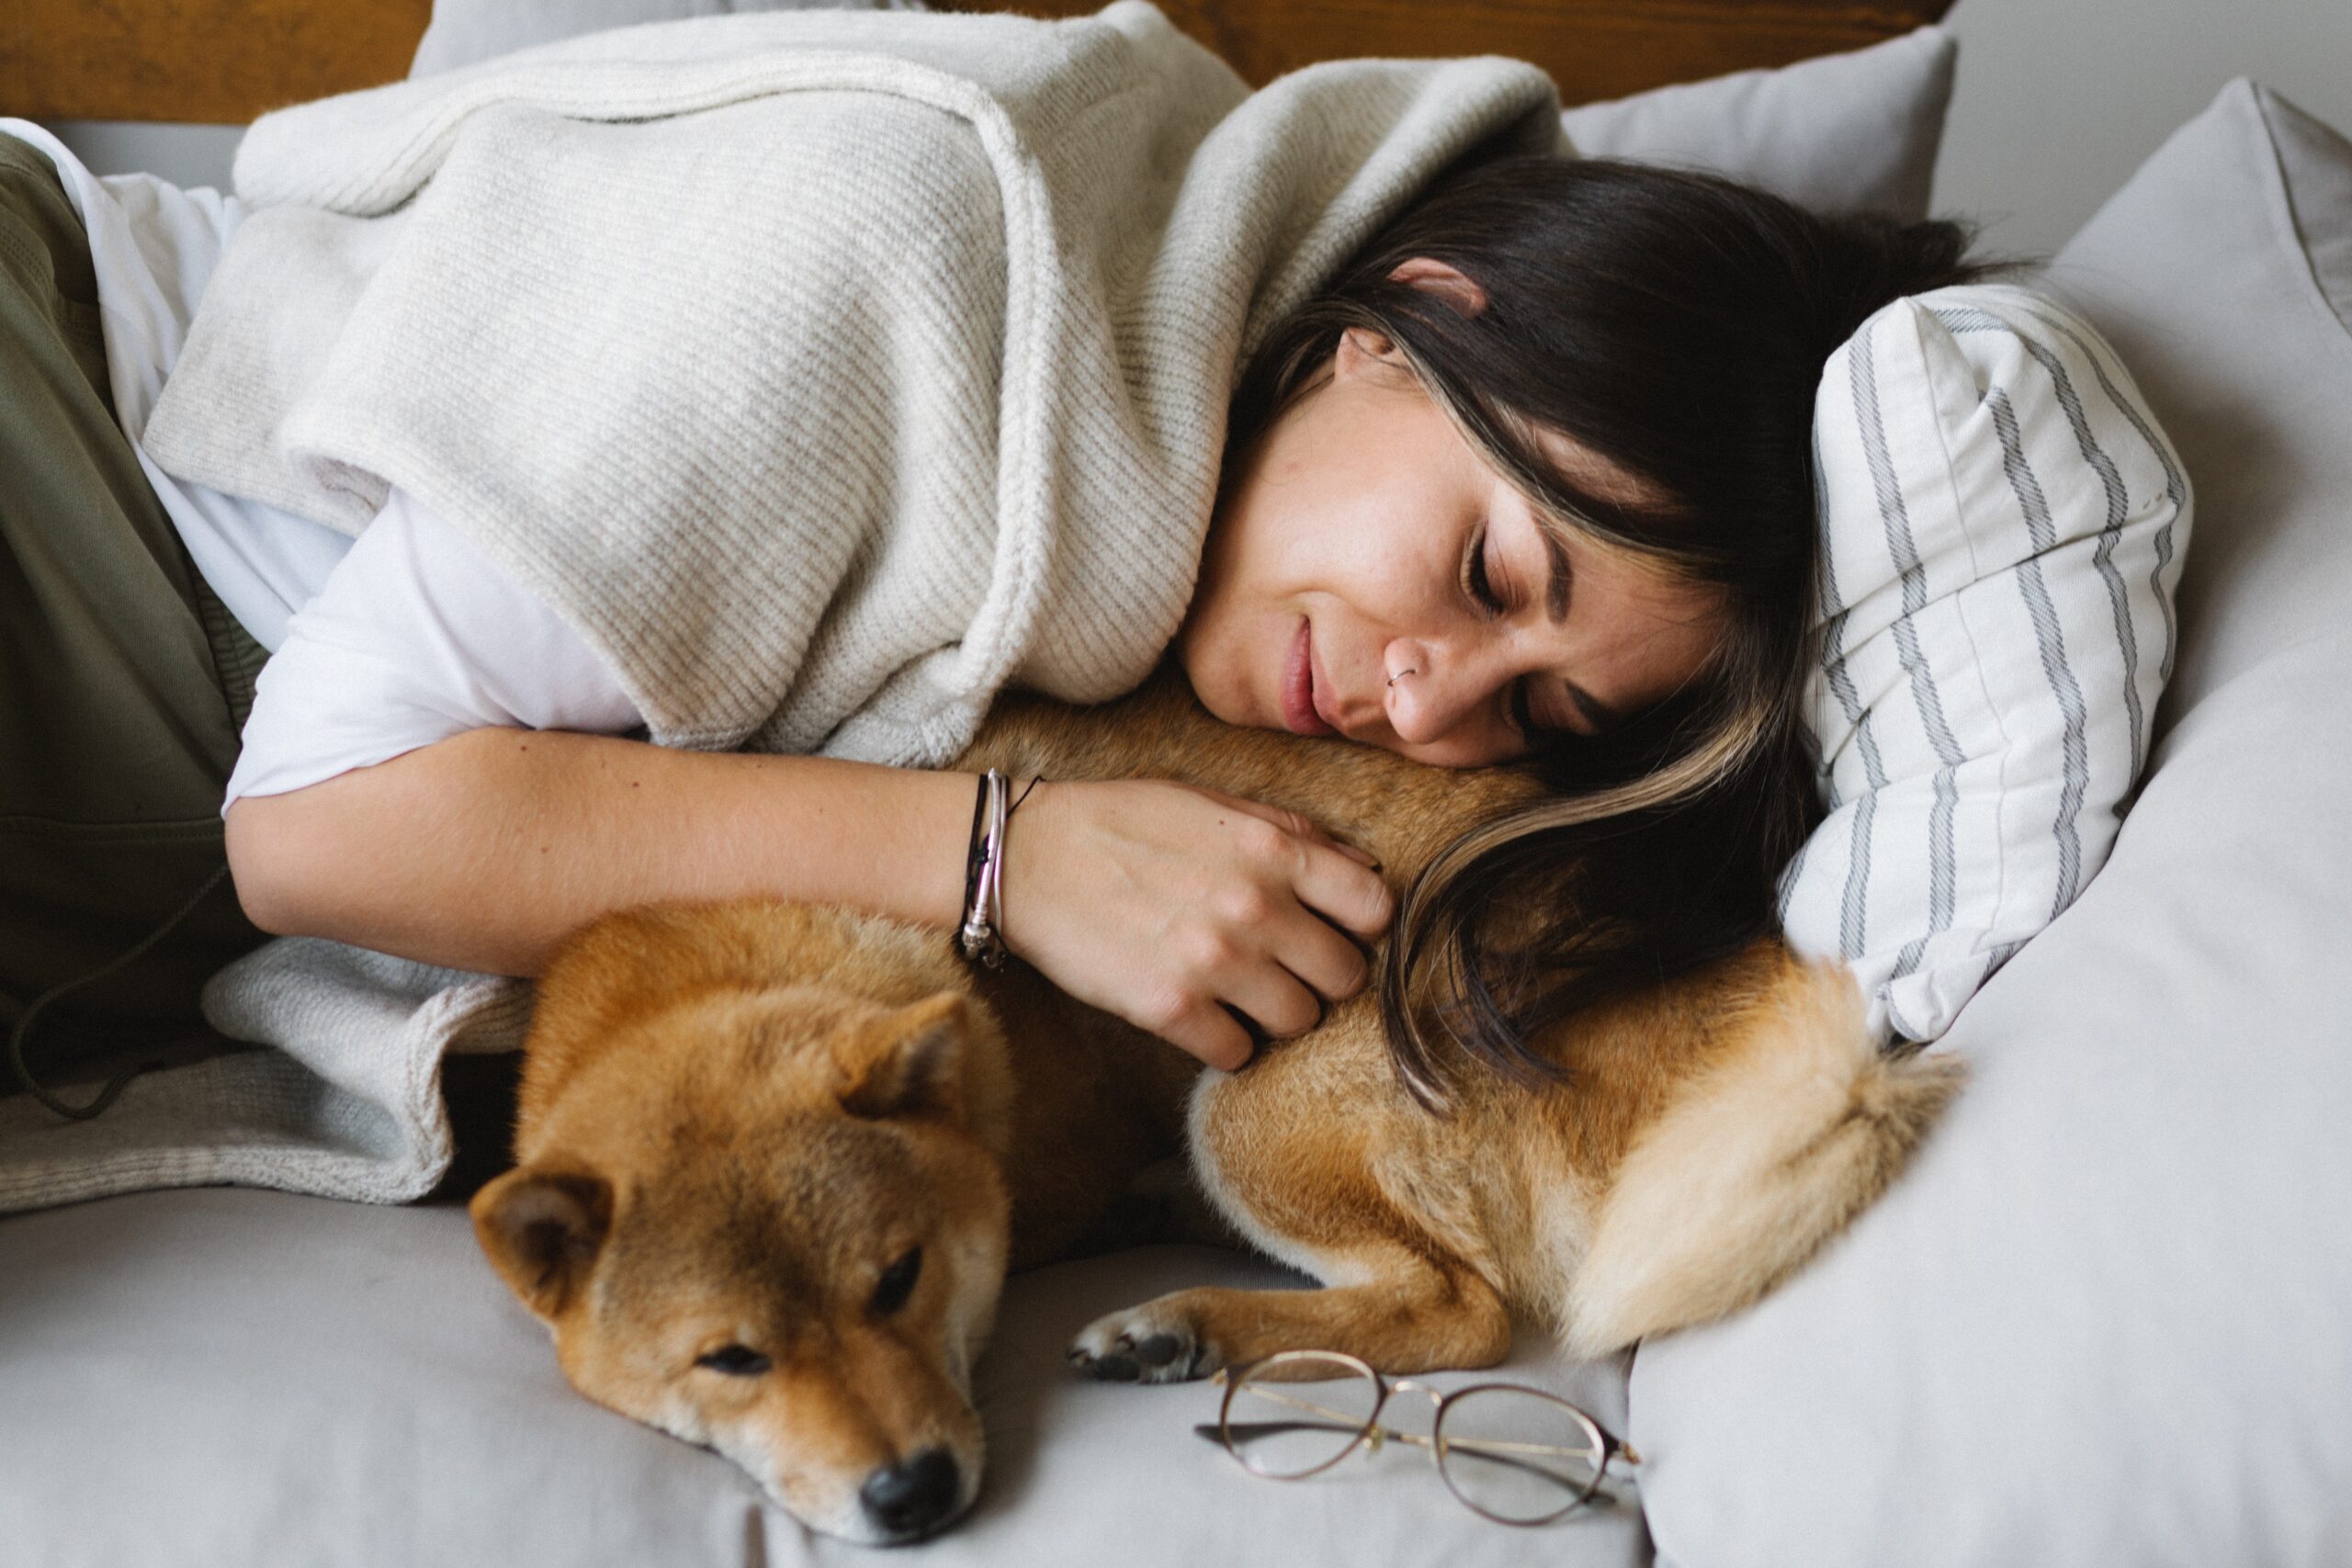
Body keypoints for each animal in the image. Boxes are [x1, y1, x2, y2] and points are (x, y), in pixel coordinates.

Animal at [468, 667, 1956, 1541]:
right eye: (729, 1359)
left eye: (897, 1280)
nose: (914, 1495)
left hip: (1245, 1107)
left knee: (1452, 1306)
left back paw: (1179, 1323)